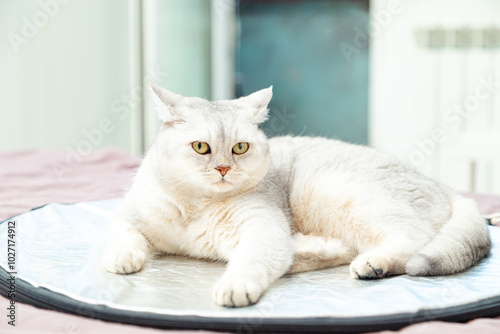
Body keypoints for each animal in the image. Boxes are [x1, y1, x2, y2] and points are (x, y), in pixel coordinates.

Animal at [100, 85, 488, 308]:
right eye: (201, 147)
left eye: (240, 148)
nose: (223, 169)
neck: (198, 206)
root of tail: (445, 189)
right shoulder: (129, 216)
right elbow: (121, 235)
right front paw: (122, 258)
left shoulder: (261, 228)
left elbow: (251, 260)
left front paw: (235, 285)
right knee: (329, 249)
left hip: (341, 193)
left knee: (411, 240)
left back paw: (372, 264)